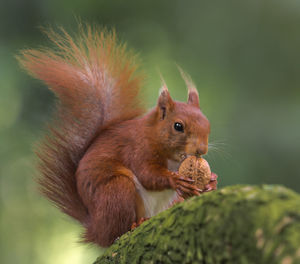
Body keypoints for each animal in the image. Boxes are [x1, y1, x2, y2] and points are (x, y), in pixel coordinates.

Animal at [17, 24, 217, 248]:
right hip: (117, 192)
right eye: (178, 126)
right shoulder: (137, 148)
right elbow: (147, 174)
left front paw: (211, 181)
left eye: (208, 123)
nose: (202, 150)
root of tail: (95, 228)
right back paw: (135, 225)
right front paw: (175, 180)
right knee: (115, 233)